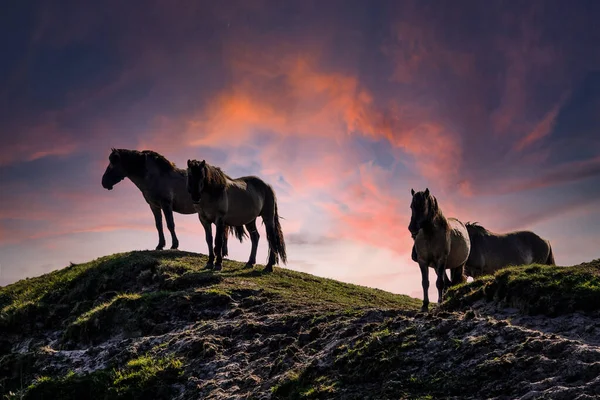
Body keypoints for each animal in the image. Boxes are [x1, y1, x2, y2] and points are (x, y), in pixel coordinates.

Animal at [101, 148, 246, 264]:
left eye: (112, 164)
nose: (104, 182)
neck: (155, 176)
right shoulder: (154, 206)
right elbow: (158, 225)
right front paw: (160, 245)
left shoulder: (166, 204)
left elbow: (170, 224)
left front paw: (174, 245)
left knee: (224, 230)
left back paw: (223, 252)